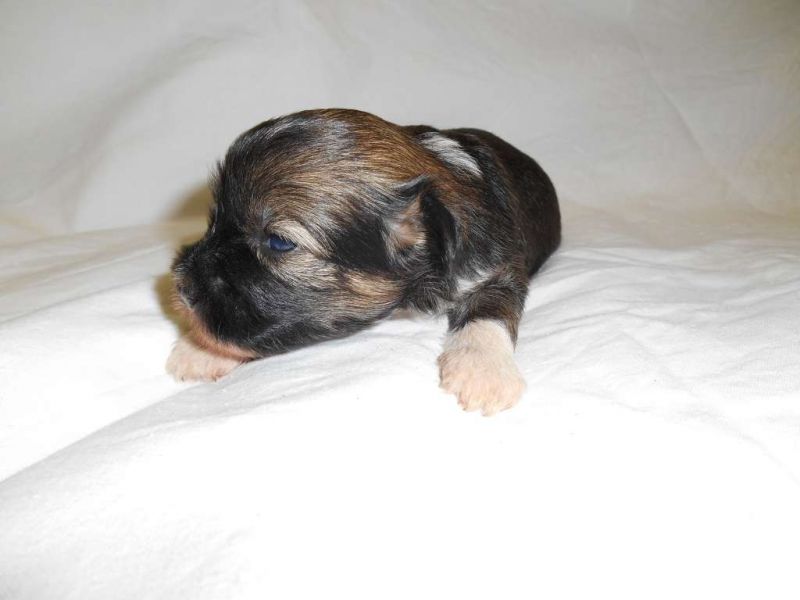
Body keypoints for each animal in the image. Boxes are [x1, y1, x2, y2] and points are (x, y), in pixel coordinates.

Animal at [167, 109, 560, 415]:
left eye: (279, 242)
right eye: (214, 220)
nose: (181, 285)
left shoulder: (500, 266)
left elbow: (490, 310)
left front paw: (482, 370)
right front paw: (200, 349)